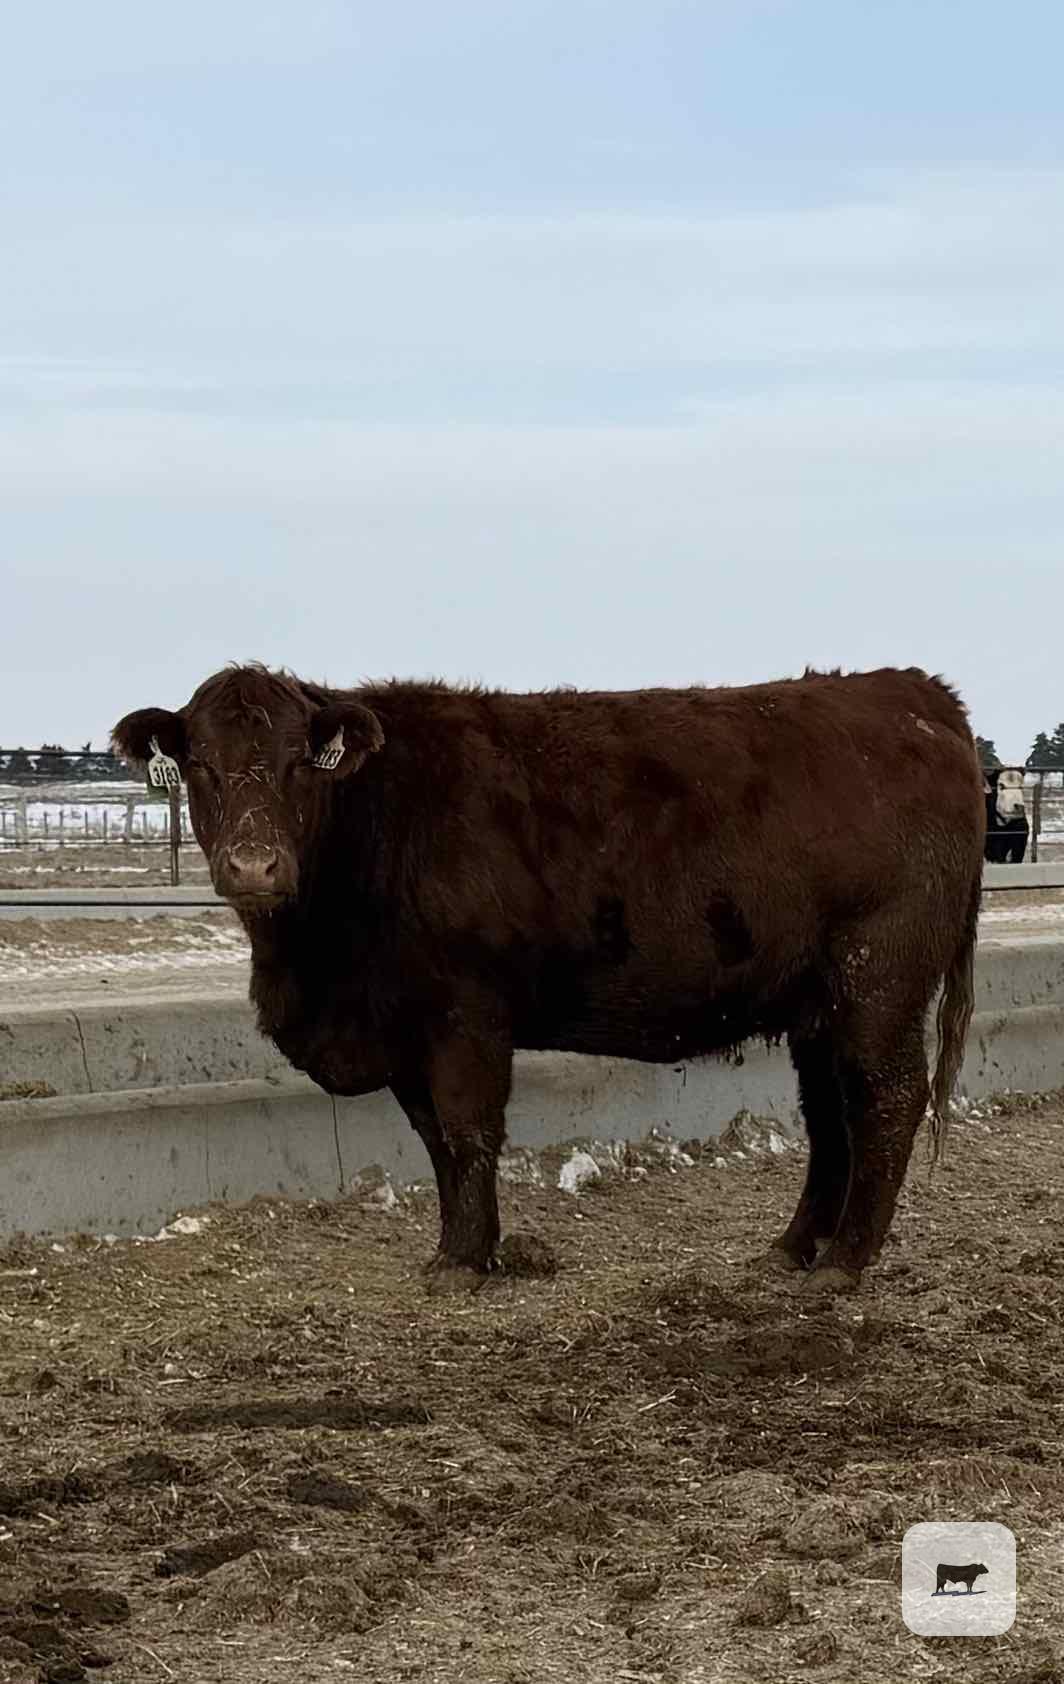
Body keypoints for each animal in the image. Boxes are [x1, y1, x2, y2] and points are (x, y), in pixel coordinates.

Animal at [113, 664, 985, 1297]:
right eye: (199, 764)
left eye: (301, 763)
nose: (255, 866)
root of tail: (911, 691)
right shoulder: (406, 1030)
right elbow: (435, 1141)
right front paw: (464, 1248)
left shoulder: (465, 1014)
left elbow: (469, 1131)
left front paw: (466, 1262)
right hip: (817, 1001)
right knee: (830, 1116)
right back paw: (792, 1248)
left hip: (879, 980)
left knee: (885, 1102)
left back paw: (844, 1262)